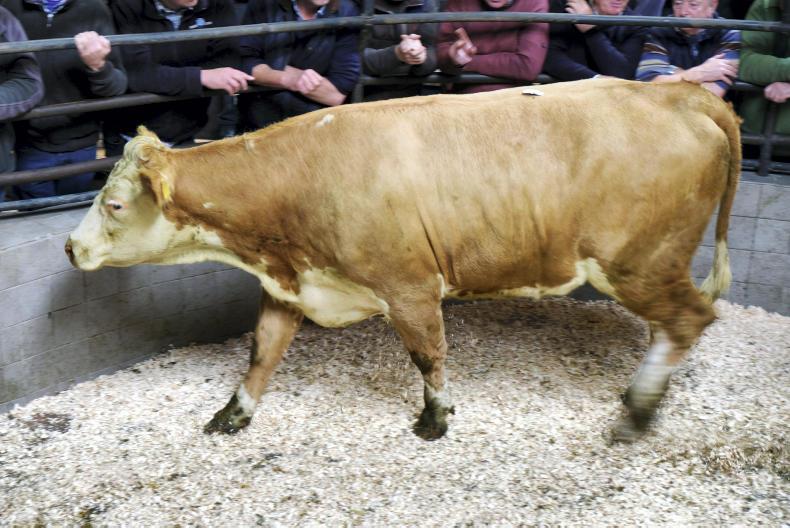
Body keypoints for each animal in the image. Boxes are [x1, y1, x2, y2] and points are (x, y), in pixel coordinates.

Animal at [65, 78, 740, 442]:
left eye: (115, 203)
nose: (71, 246)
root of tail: (678, 93)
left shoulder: (410, 287)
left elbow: (428, 355)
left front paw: (436, 419)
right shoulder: (291, 287)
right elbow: (261, 354)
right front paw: (233, 414)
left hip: (638, 262)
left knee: (691, 319)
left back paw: (638, 412)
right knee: (673, 326)